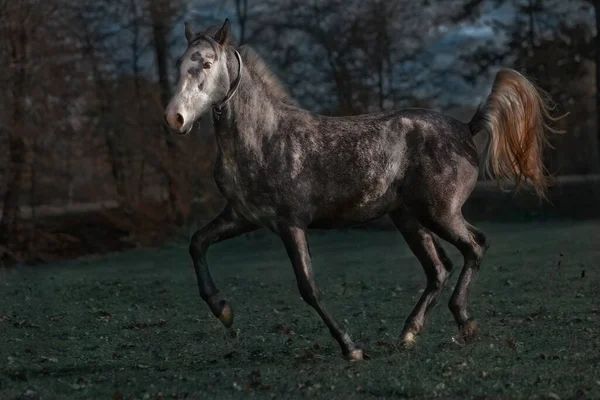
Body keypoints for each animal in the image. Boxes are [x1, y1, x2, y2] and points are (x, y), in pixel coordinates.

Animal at [163, 18, 564, 360]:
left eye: (207, 64)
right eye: (181, 63)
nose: (175, 118)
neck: (263, 138)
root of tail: (466, 128)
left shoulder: (290, 224)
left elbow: (308, 287)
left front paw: (350, 347)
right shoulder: (244, 216)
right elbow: (197, 243)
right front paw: (223, 310)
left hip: (441, 212)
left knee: (475, 246)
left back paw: (465, 324)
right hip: (409, 219)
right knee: (439, 268)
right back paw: (408, 334)